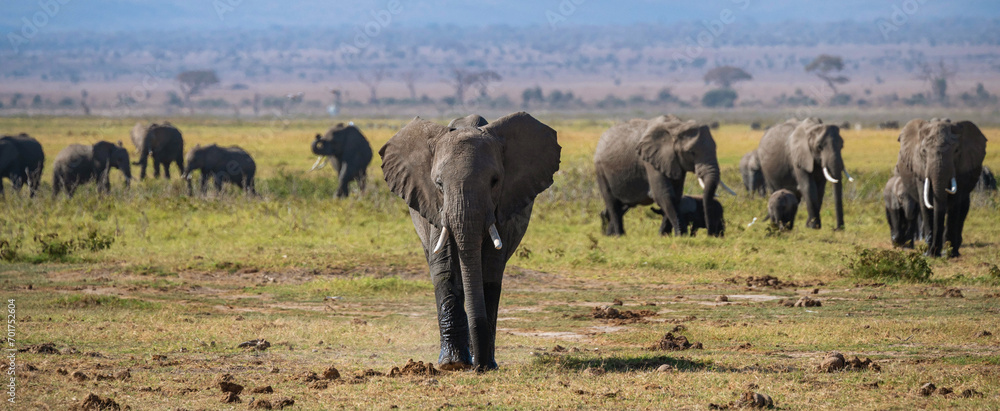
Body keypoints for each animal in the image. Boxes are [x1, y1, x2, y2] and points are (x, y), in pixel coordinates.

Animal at [379, 112, 560, 371]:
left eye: (495, 181)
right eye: (439, 184)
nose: (479, 366)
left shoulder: (502, 207)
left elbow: (489, 274)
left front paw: (485, 364)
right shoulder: (435, 206)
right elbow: (445, 271)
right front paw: (452, 365)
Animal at [594, 115, 735, 237]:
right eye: (691, 152)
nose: (710, 234)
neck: (678, 127)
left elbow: (675, 196)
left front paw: (665, 236)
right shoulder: (650, 160)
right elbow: (664, 194)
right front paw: (681, 235)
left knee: (623, 206)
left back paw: (611, 235)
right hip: (601, 170)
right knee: (612, 203)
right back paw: (619, 236)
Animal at [893, 119, 987, 257]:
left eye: (956, 151)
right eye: (923, 152)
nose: (934, 251)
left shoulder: (961, 170)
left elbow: (954, 204)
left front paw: (949, 254)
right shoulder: (919, 168)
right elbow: (925, 204)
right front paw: (929, 254)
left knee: (963, 208)